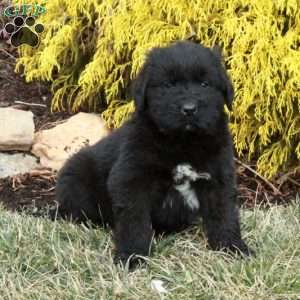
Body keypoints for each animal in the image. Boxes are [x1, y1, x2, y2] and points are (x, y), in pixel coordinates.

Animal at [55, 41, 252, 266]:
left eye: (204, 84)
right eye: (168, 85)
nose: (189, 109)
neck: (182, 142)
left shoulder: (218, 177)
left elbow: (224, 214)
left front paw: (232, 247)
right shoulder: (131, 179)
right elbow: (134, 221)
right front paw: (132, 256)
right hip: (74, 176)